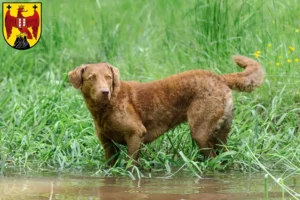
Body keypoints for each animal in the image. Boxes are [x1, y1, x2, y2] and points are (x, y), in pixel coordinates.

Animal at [68, 55, 264, 165]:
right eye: (91, 78)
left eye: (108, 77)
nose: (104, 92)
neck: (105, 109)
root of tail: (219, 77)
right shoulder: (108, 144)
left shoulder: (135, 134)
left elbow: (131, 165)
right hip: (222, 133)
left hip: (201, 132)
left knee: (212, 157)